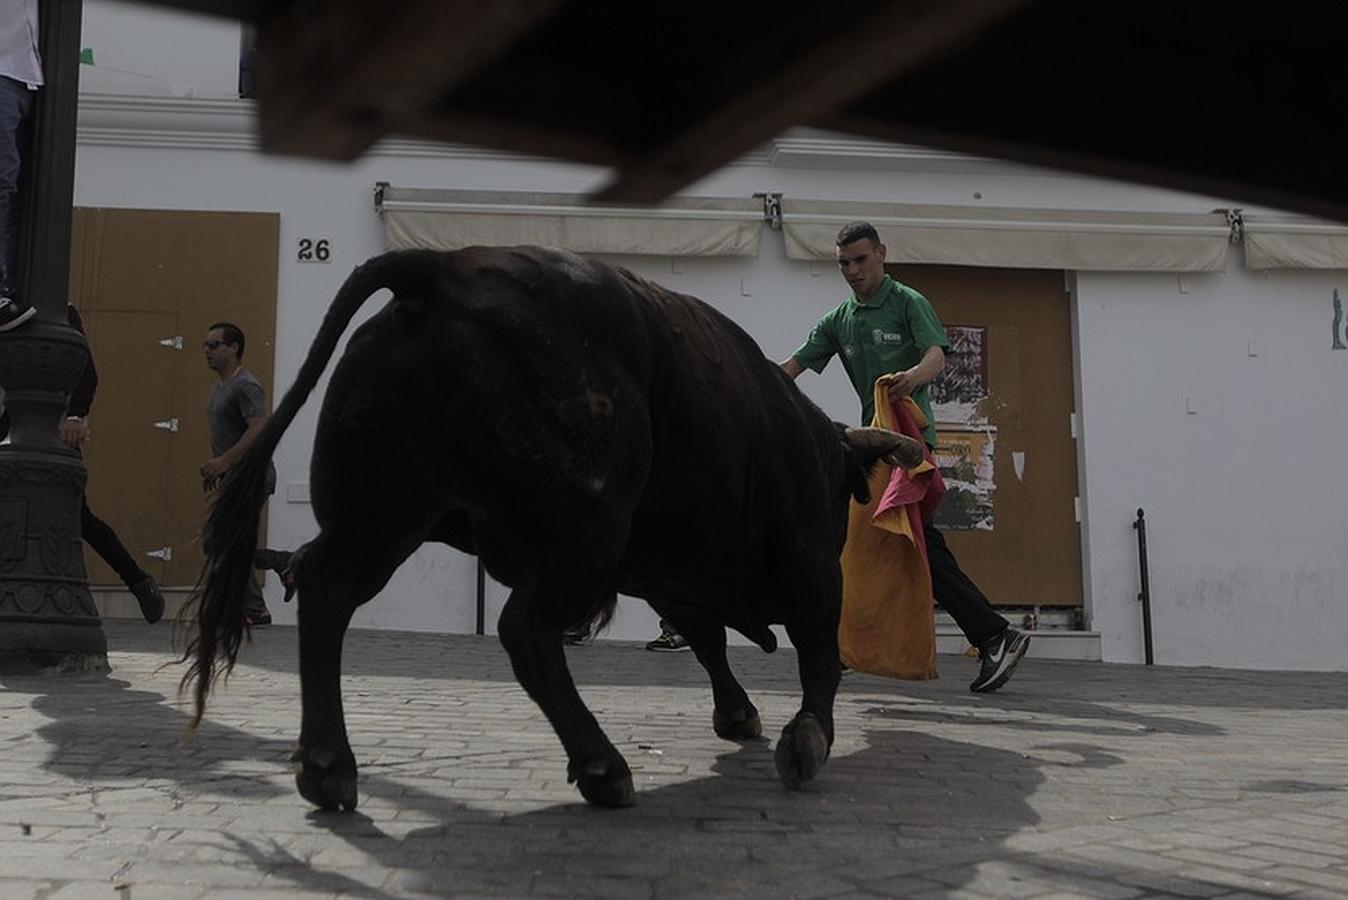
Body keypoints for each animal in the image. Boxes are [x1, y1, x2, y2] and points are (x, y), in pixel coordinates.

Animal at [184, 246, 922, 808]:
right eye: (837, 499)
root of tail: (441, 271)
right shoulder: (808, 570)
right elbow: (816, 656)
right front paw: (806, 740)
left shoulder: (672, 576)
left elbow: (708, 640)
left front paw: (739, 713)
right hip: (580, 542)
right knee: (525, 630)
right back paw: (602, 767)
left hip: (385, 514)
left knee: (327, 589)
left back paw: (327, 767)